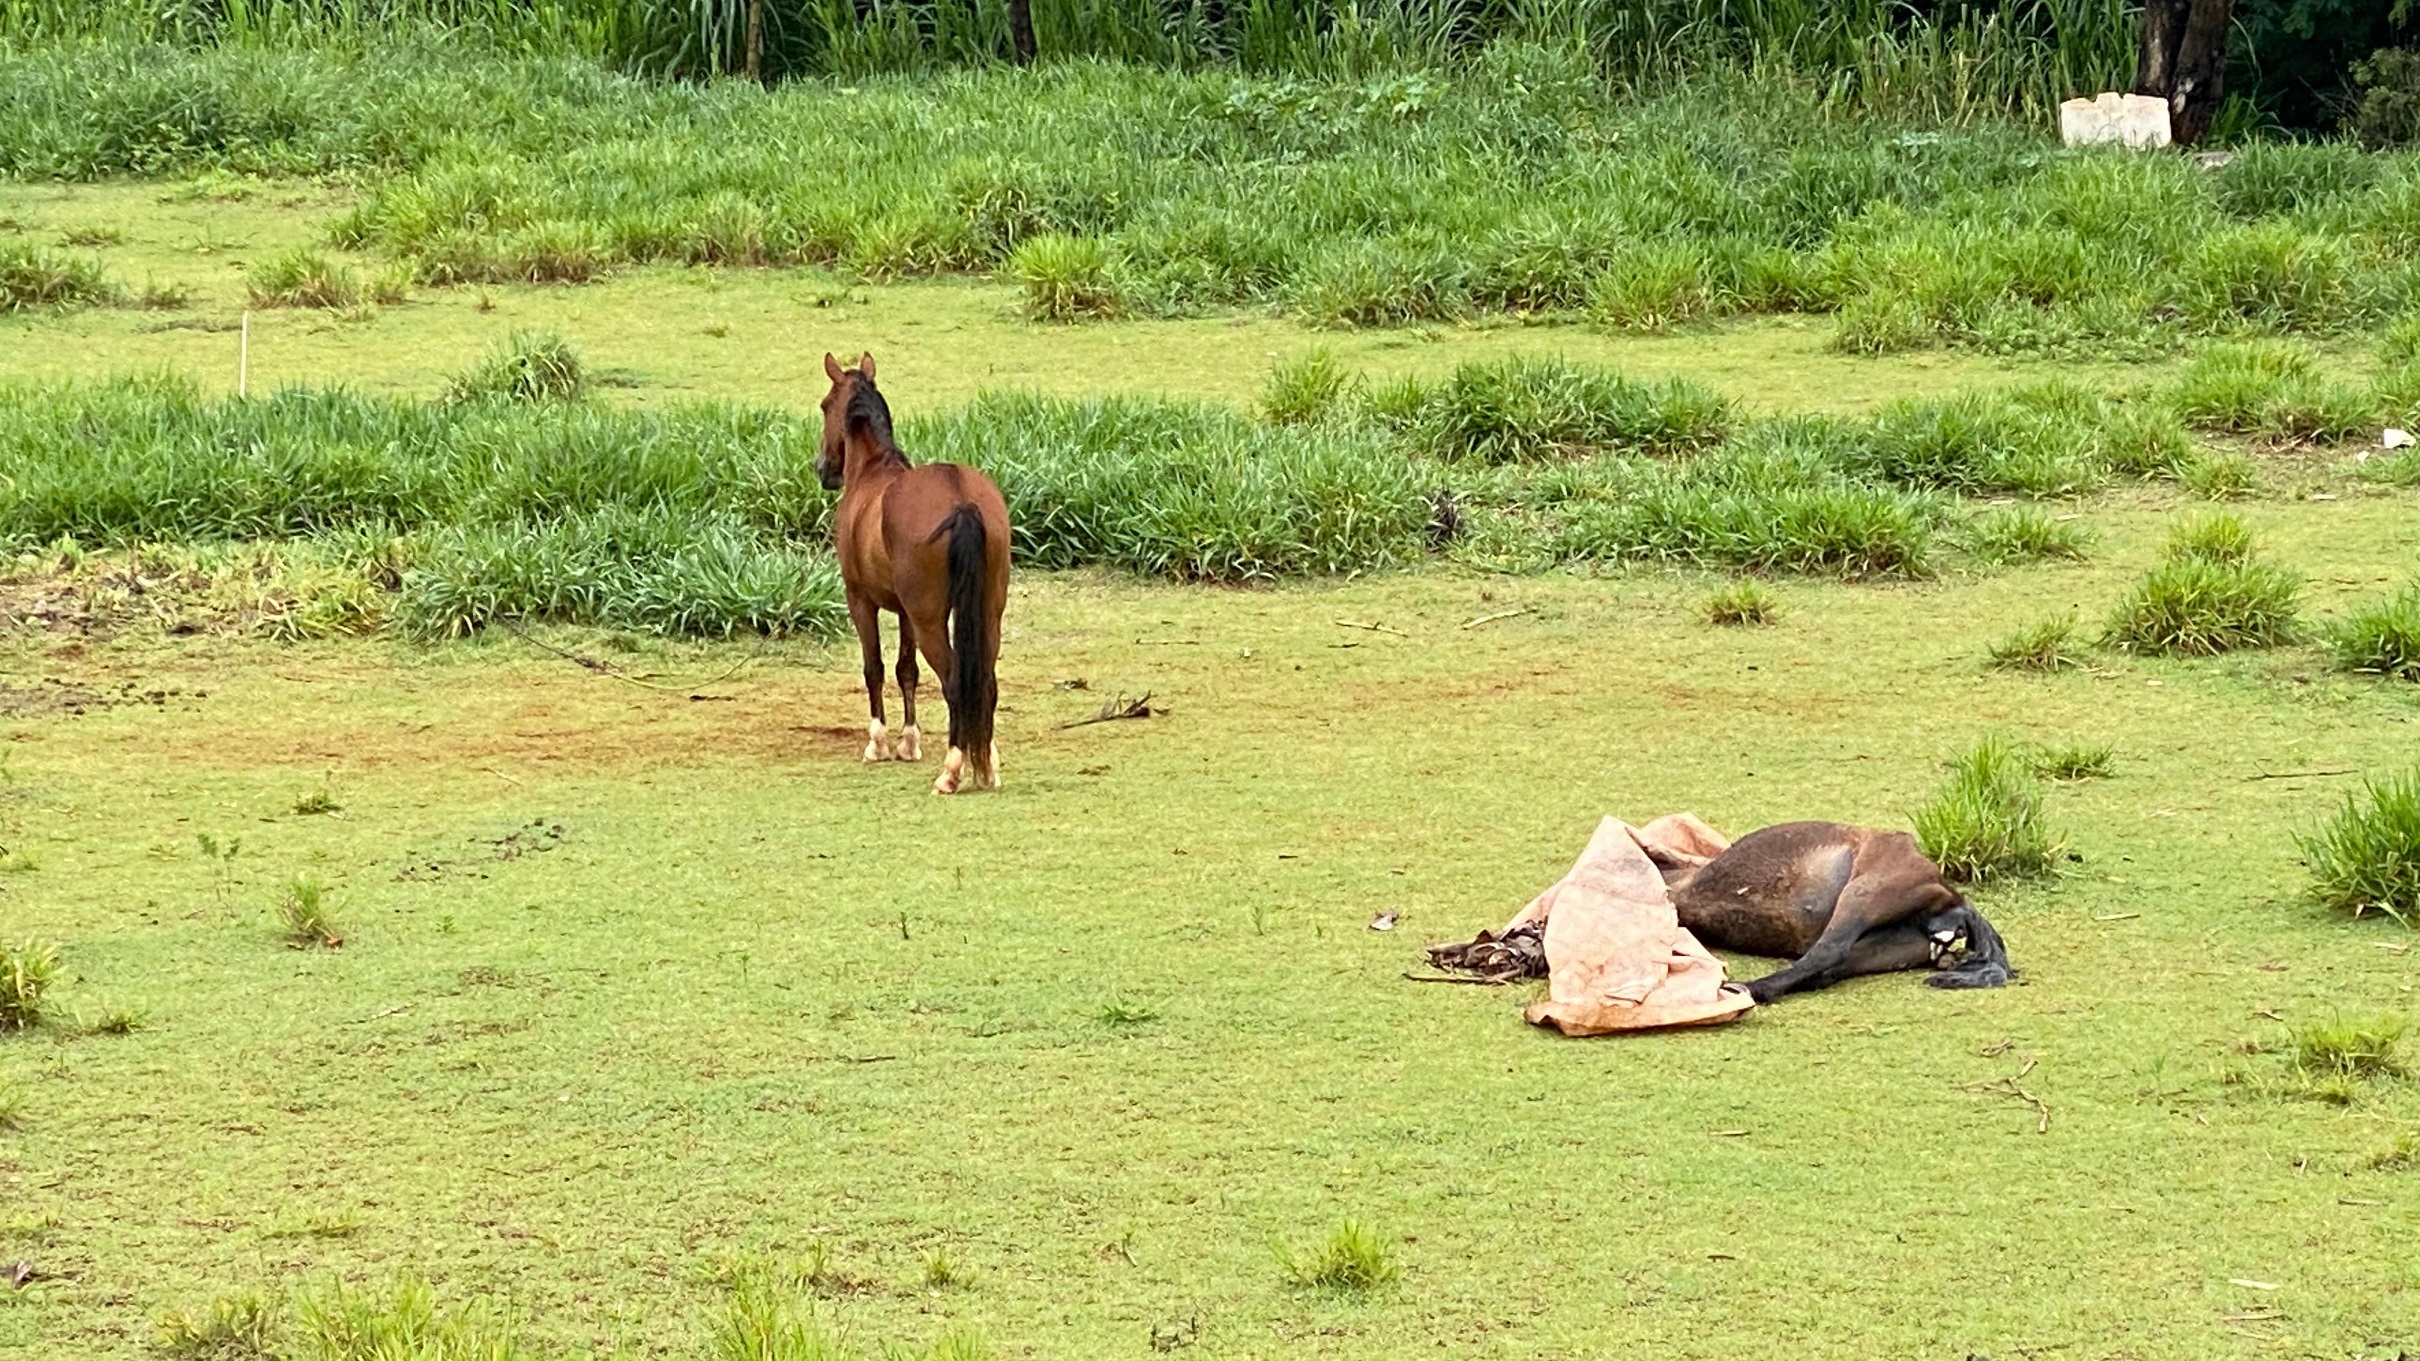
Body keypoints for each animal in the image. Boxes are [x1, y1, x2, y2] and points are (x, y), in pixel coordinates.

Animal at [817, 352, 1010, 795]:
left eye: (824, 406)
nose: (823, 469)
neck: (872, 472)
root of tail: (961, 499)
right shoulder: (904, 611)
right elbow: (907, 670)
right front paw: (908, 742)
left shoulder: (861, 601)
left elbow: (874, 667)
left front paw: (879, 744)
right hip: (987, 613)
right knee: (985, 681)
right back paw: (986, 765)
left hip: (929, 621)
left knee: (955, 682)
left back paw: (952, 771)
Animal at [1654, 821, 2015, 1004]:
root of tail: (1955, 901)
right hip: (1886, 946)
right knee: (1830, 968)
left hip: (1862, 895)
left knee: (1828, 952)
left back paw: (1748, 989)